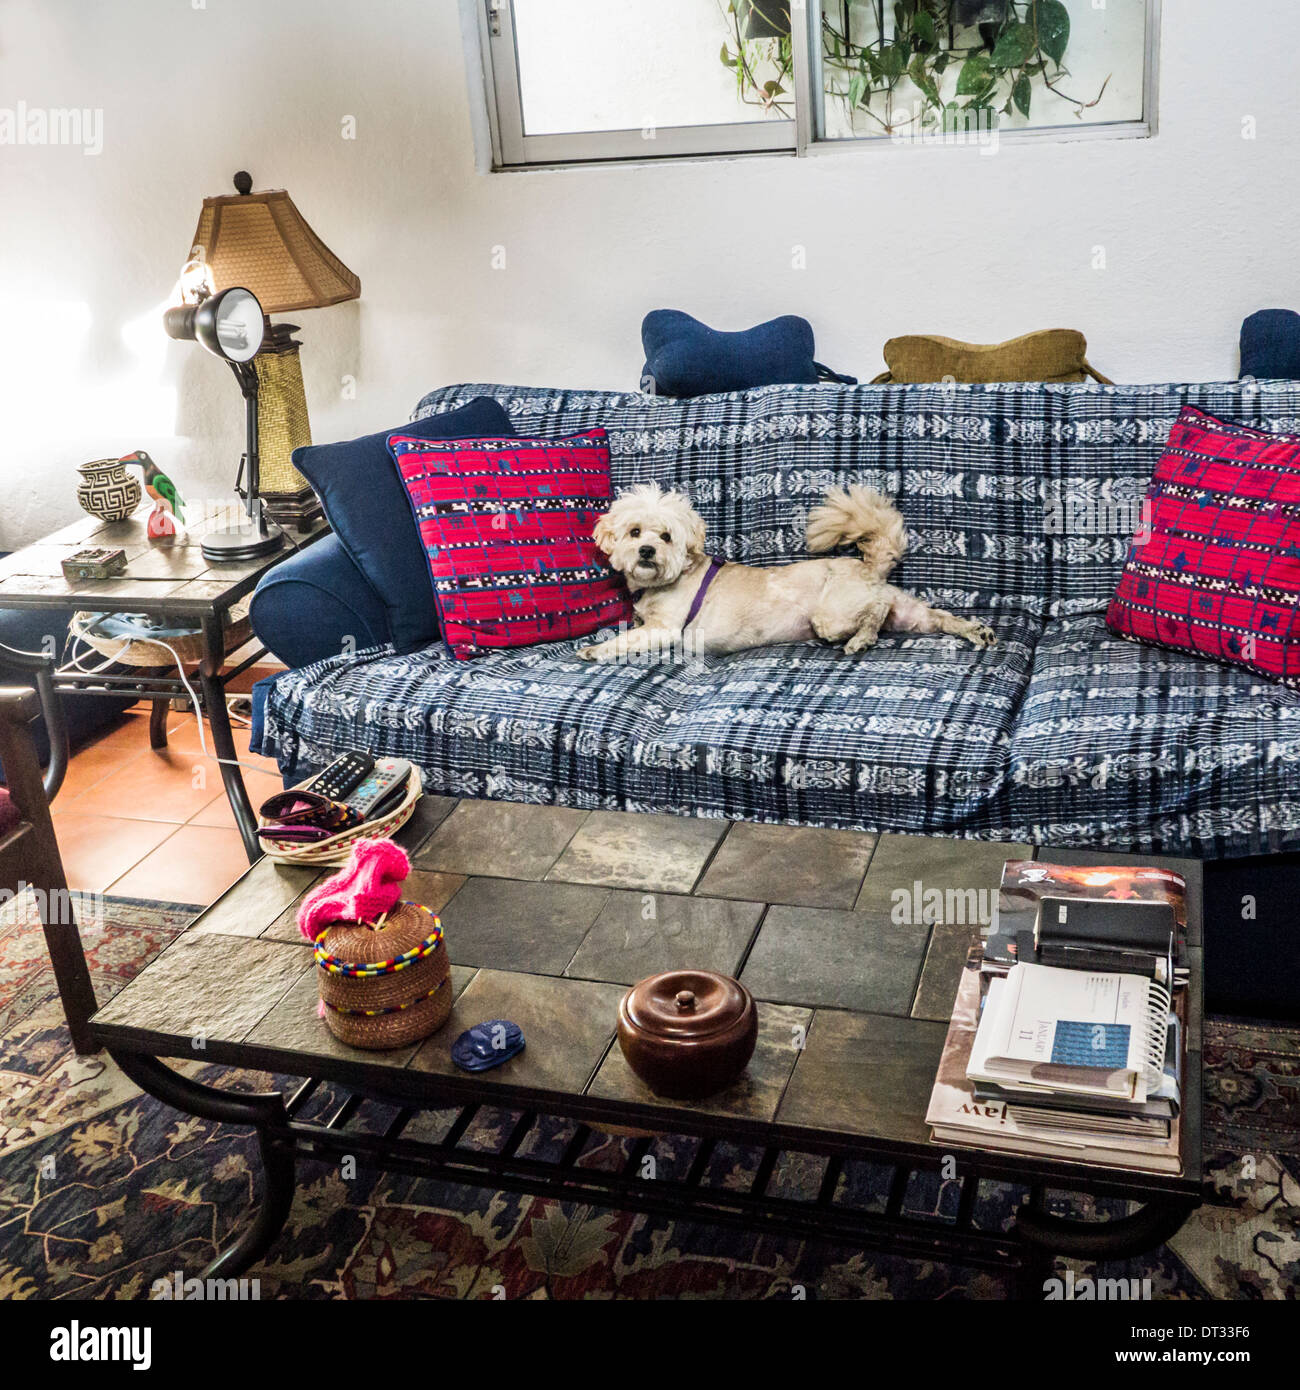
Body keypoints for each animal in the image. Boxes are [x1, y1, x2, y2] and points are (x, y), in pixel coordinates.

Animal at [578, 480, 995, 664]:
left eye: (666, 536)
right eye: (634, 532)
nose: (647, 550)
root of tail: (866, 566)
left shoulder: (664, 630)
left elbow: (626, 640)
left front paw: (596, 649)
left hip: (831, 616)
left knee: (873, 616)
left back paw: (861, 640)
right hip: (908, 615)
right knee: (937, 617)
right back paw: (976, 630)